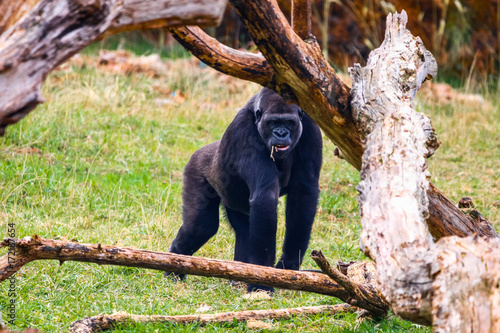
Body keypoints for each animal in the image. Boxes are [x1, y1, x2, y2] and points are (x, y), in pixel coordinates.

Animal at [169, 87, 324, 290]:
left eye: (289, 123)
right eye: (273, 122)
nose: (281, 133)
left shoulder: (311, 127)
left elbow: (303, 193)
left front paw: (288, 265)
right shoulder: (243, 133)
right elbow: (265, 196)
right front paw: (263, 283)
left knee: (243, 229)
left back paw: (239, 276)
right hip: (195, 168)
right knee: (200, 227)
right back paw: (173, 266)